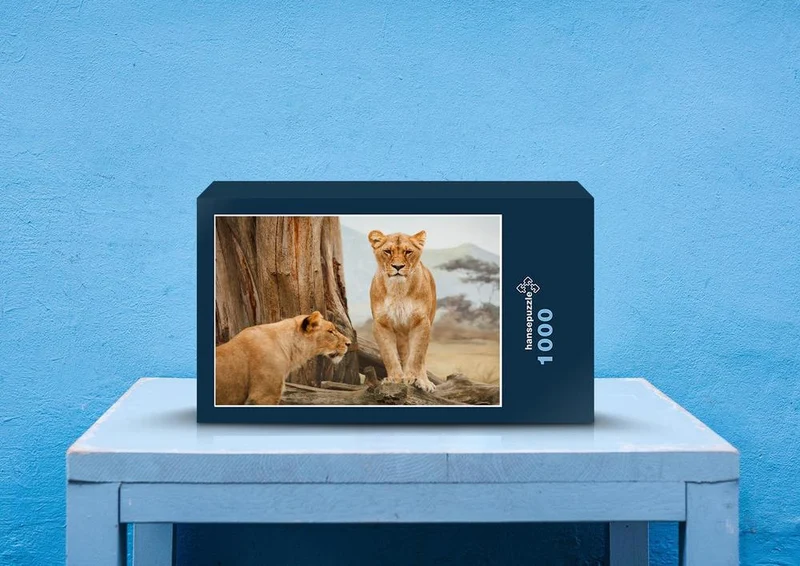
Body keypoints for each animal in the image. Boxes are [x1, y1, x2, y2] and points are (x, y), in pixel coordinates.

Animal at [368, 229, 437, 392]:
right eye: (387, 251)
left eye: (408, 251)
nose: (398, 266)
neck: (398, 289)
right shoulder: (381, 323)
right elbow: (389, 354)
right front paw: (395, 378)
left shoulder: (421, 322)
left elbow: (417, 355)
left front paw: (411, 377)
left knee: (421, 357)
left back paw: (424, 381)